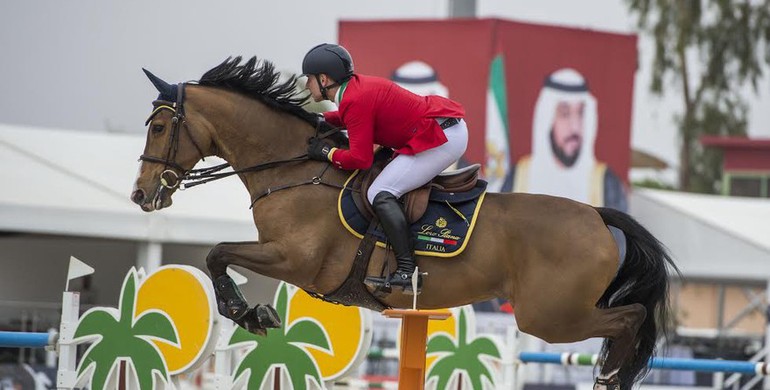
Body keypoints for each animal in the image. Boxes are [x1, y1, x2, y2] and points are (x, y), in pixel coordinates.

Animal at [132, 56, 680, 388]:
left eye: (158, 127)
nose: (141, 195)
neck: (293, 169)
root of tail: (596, 217)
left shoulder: (294, 260)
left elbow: (217, 253)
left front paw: (249, 313)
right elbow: (218, 255)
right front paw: (251, 312)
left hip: (548, 316)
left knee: (629, 318)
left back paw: (612, 376)